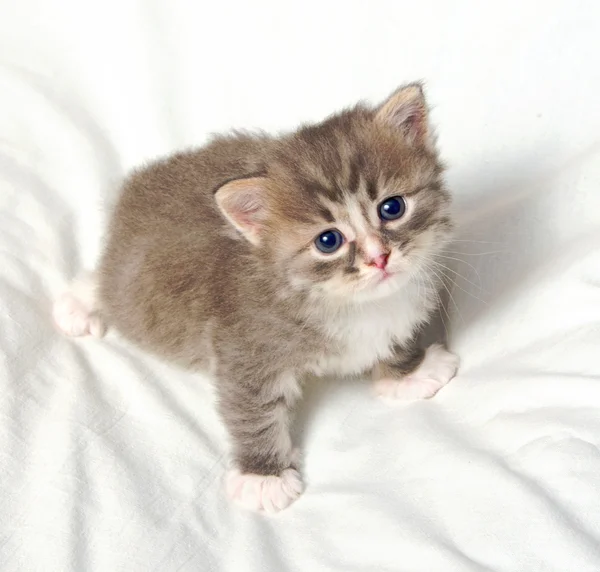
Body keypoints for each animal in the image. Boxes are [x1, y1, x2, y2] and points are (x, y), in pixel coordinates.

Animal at [55, 84, 460, 512]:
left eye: (392, 207)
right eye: (328, 240)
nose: (379, 258)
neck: (345, 303)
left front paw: (410, 371)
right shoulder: (245, 345)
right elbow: (252, 409)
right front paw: (263, 475)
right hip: (134, 296)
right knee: (106, 286)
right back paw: (79, 302)